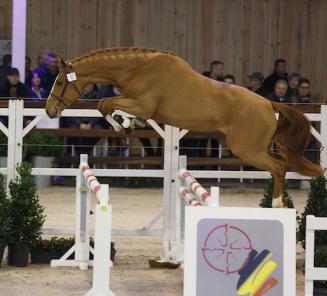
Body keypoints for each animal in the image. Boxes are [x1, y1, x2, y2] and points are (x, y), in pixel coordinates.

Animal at [44, 47, 324, 207]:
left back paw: (276, 204)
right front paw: (126, 124)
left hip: (248, 150)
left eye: (60, 82)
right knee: (282, 164)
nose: (49, 111)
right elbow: (106, 103)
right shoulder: (139, 105)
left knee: (279, 167)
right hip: (247, 147)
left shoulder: (144, 106)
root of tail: (268, 103)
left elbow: (105, 103)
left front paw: (122, 125)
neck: (137, 68)